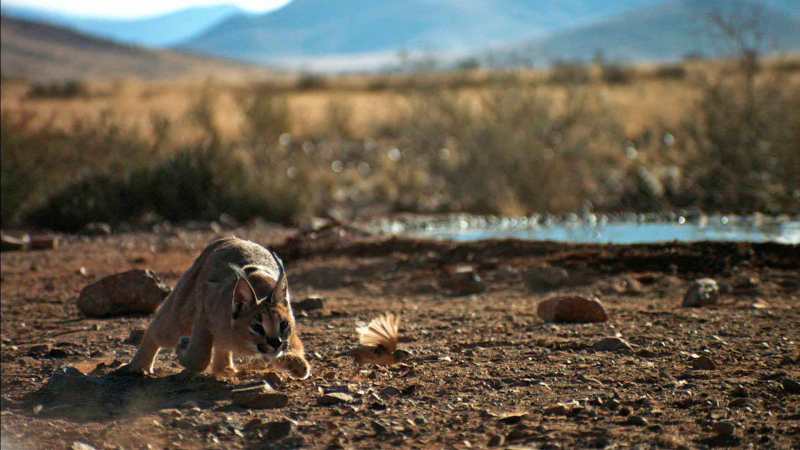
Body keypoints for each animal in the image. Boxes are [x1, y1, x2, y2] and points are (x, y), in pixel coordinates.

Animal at [123, 236, 310, 380]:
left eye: (284, 325)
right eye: (257, 327)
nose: (275, 342)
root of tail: (229, 238)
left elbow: (293, 353)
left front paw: (297, 365)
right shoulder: (204, 312)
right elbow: (200, 357)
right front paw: (183, 347)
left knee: (221, 344)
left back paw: (225, 369)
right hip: (182, 312)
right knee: (156, 329)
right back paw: (139, 366)